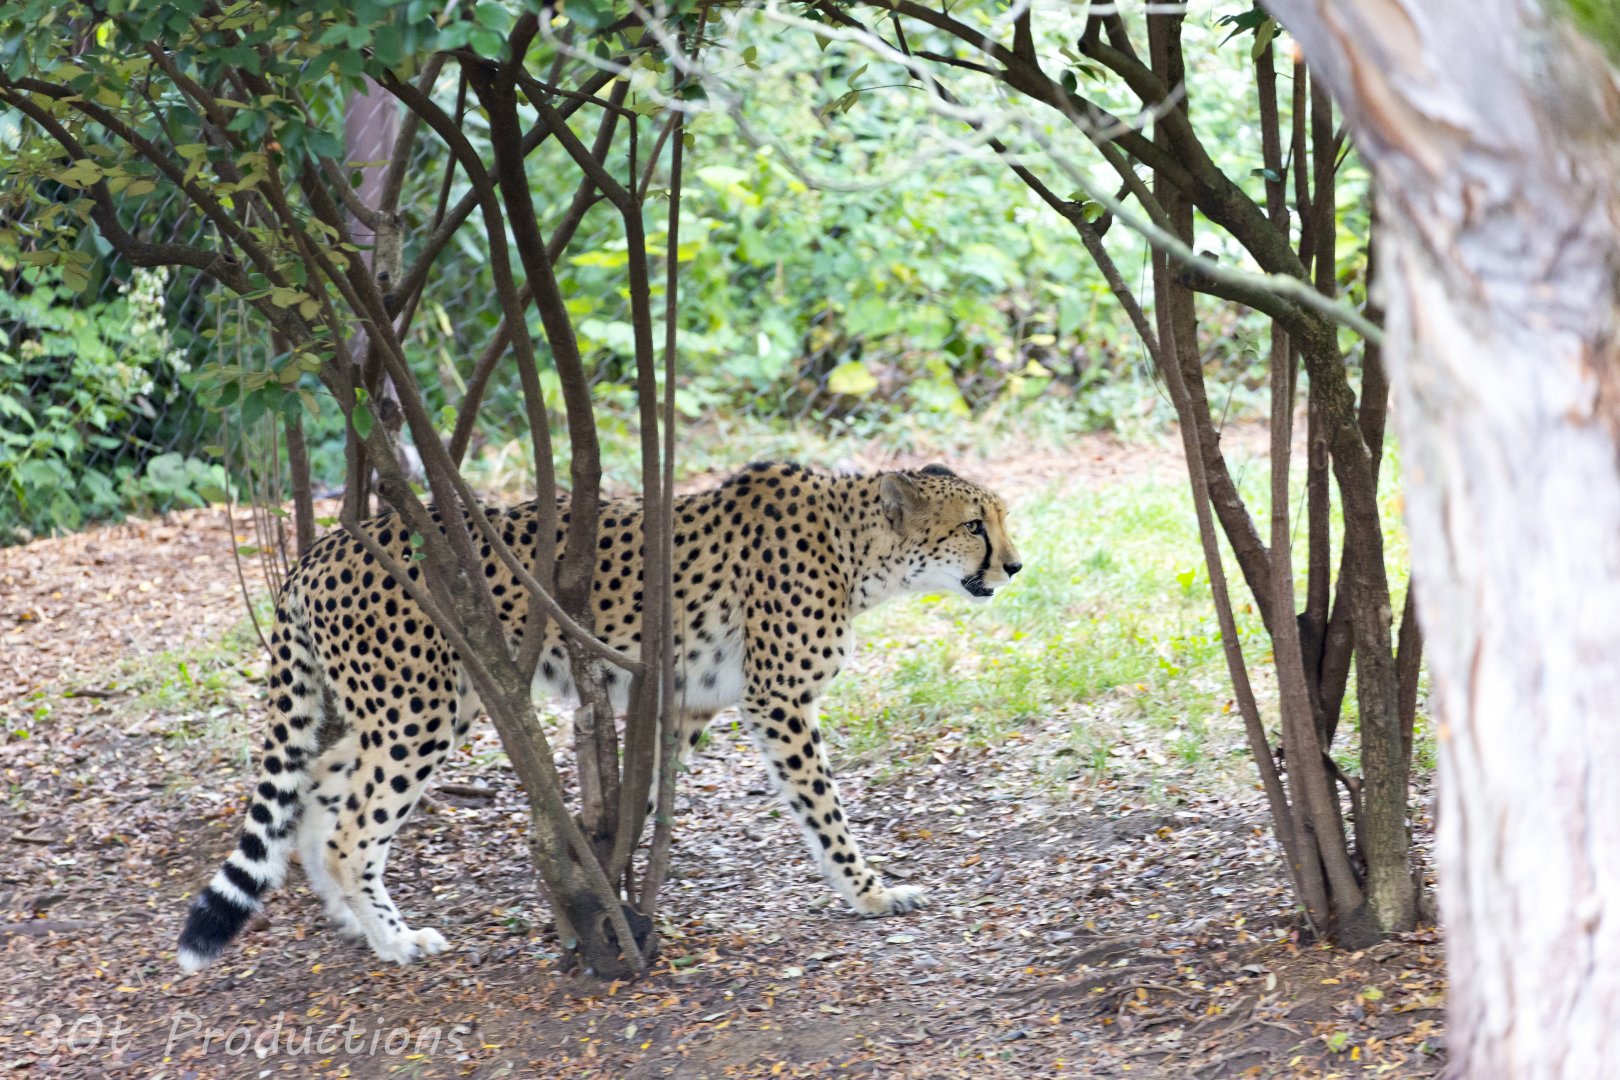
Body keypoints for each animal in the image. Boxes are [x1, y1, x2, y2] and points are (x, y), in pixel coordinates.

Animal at [177, 461, 1022, 971]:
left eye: (1000, 520)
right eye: (975, 526)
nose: (1015, 566)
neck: (857, 548)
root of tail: (324, 546)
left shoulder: (682, 700)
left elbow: (643, 792)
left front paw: (603, 877)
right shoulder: (778, 702)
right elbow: (825, 811)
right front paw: (871, 892)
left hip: (401, 708)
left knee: (318, 784)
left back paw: (358, 925)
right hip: (419, 711)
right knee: (354, 828)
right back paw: (397, 937)